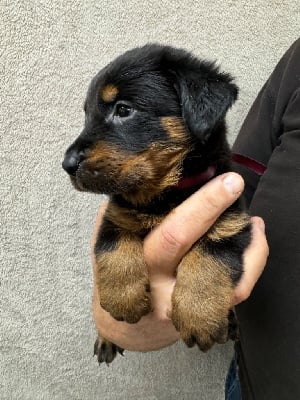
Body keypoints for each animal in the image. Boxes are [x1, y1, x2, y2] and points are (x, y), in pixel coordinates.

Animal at [62, 44, 251, 366]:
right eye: (87, 115)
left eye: (123, 110)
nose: (67, 164)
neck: (164, 194)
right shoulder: (115, 215)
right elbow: (113, 248)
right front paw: (123, 300)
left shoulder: (232, 220)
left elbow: (208, 256)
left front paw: (198, 314)